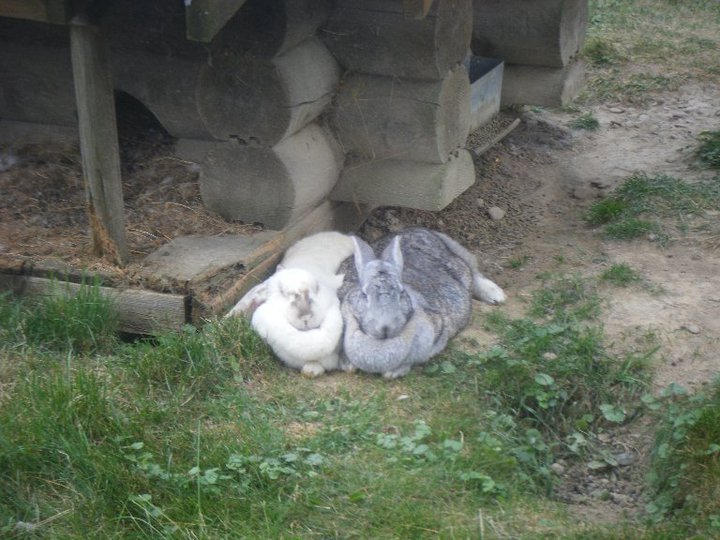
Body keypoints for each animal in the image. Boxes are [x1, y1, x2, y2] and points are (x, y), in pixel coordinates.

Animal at [338, 228, 505, 379]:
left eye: (401, 293)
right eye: (364, 294)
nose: (385, 327)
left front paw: (392, 373)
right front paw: (348, 365)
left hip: (461, 269)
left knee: (474, 273)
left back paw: (497, 296)